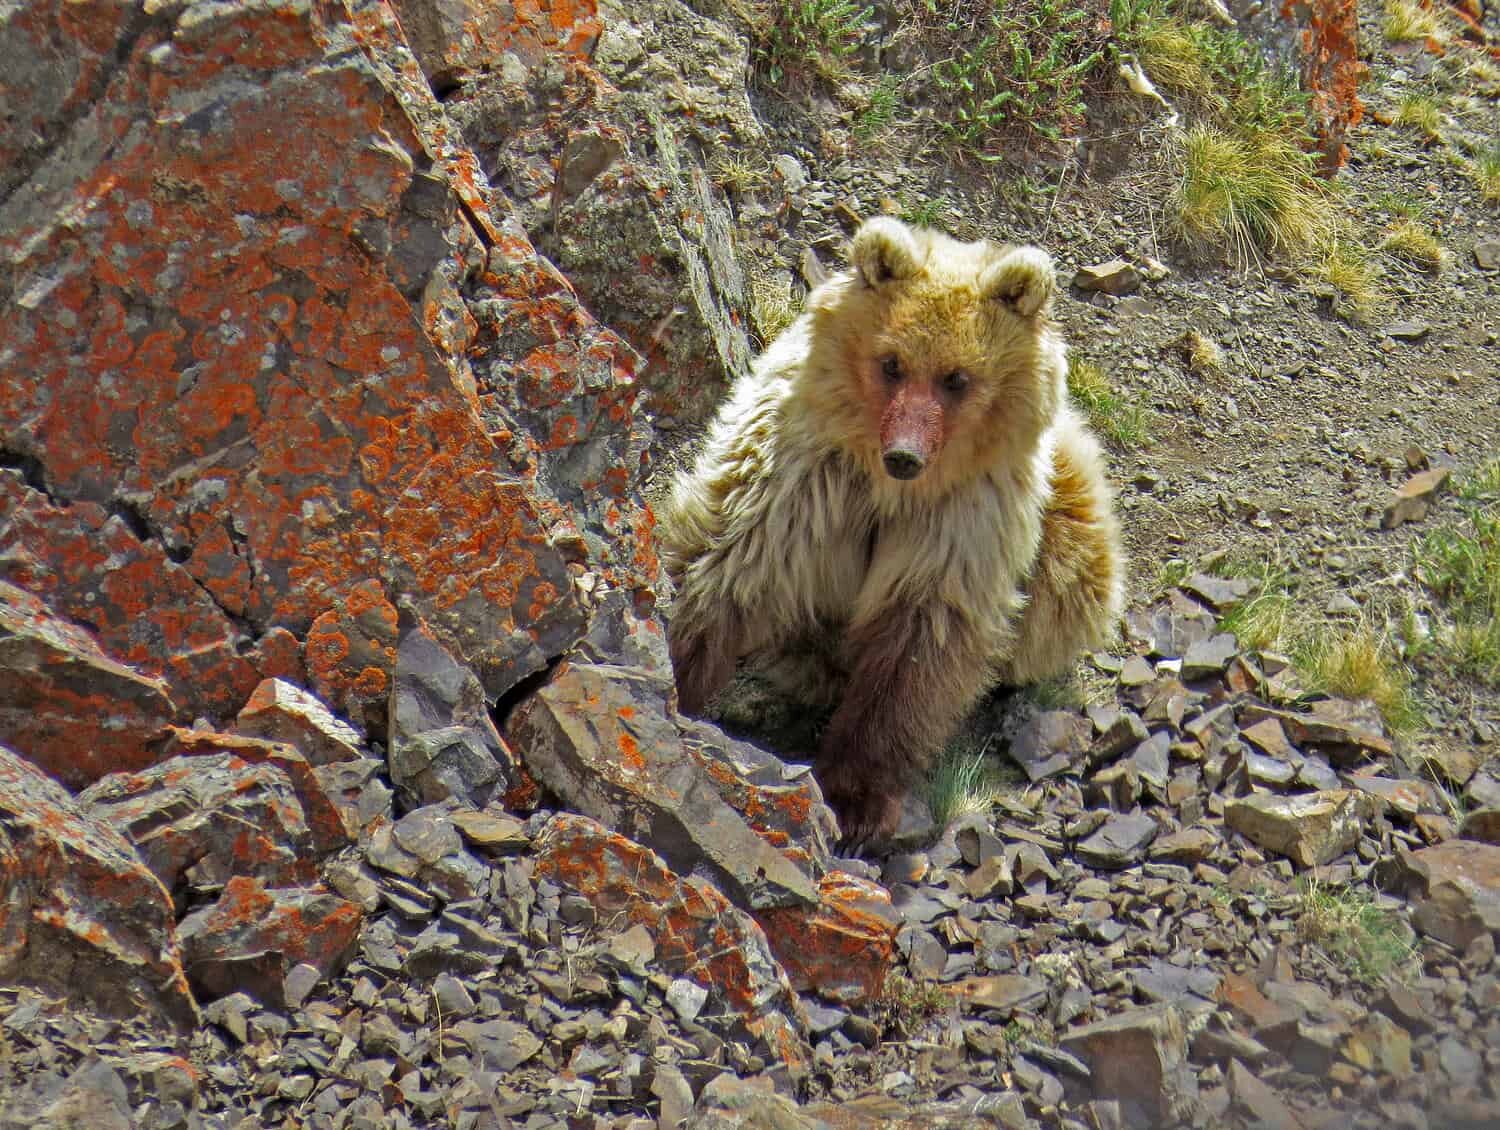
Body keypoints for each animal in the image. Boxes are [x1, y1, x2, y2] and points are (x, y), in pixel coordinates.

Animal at [657, 216, 1124, 845]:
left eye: (956, 377)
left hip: (1073, 525)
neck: (891, 492)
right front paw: (677, 677)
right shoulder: (805, 476)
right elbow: (736, 559)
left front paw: (857, 799)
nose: (905, 454)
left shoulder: (960, 523)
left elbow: (918, 641)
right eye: (892, 363)